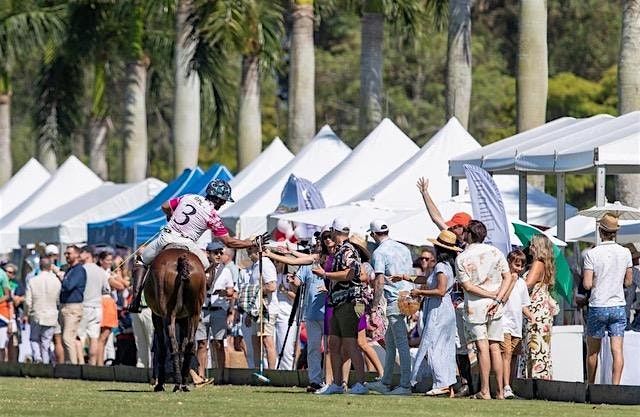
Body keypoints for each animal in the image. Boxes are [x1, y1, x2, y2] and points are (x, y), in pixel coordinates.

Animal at [144, 245, 205, 392]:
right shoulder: (184, 318)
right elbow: (184, 344)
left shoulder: (157, 316)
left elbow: (161, 347)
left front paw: (160, 384)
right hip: (195, 313)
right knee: (189, 344)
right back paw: (183, 383)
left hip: (168, 314)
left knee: (171, 343)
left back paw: (177, 383)